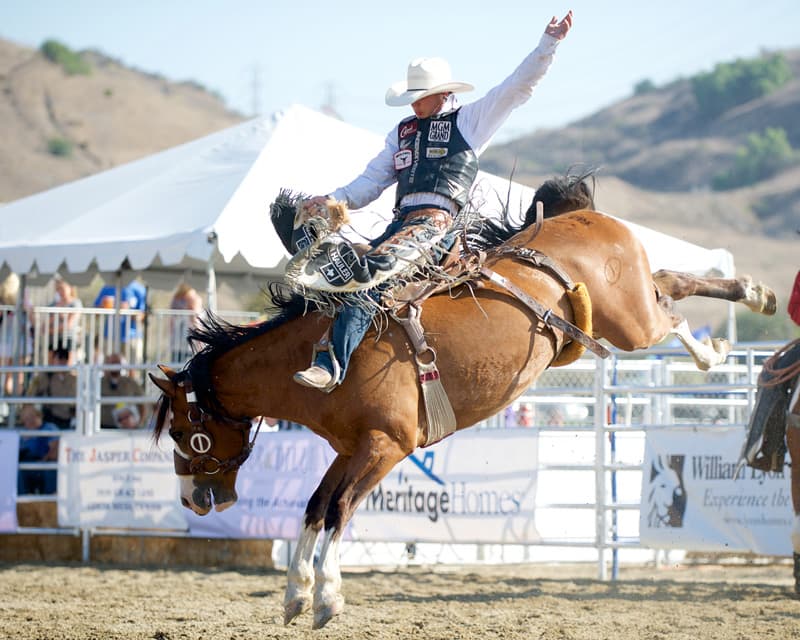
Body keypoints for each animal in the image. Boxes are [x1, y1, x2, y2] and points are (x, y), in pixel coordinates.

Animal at [148, 182, 776, 628]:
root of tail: (586, 216)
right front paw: (295, 595)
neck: (322, 353)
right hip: (621, 312)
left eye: (182, 433)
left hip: (633, 324)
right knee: (669, 281)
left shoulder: (386, 447)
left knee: (671, 315)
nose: (192, 501)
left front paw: (326, 597)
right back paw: (753, 294)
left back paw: (716, 346)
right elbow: (313, 506)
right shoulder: (350, 448)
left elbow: (339, 510)